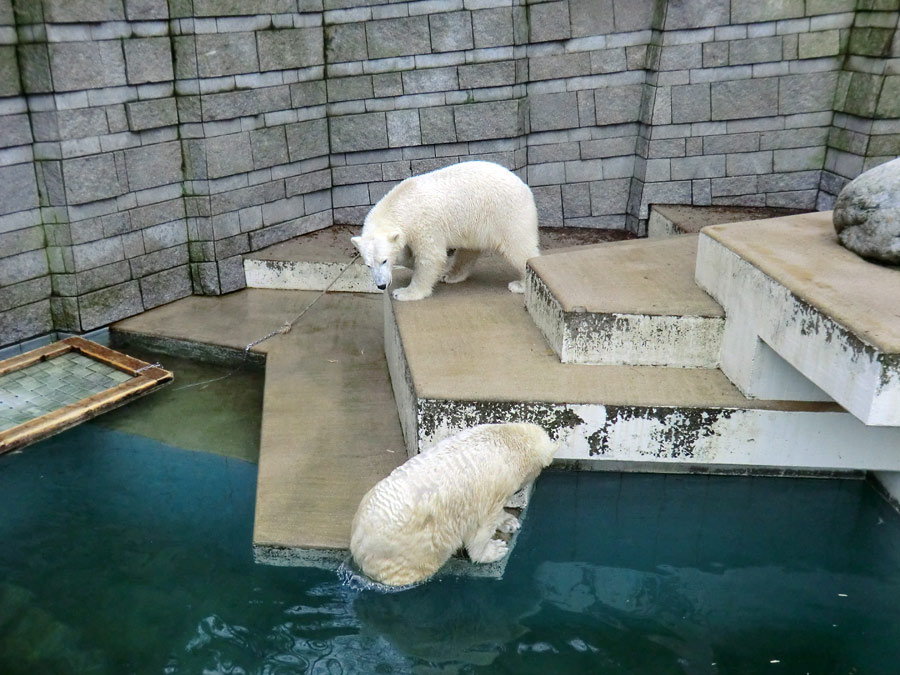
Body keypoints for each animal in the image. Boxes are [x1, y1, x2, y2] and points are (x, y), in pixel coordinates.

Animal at [350, 161, 536, 302]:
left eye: (384, 260)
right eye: (368, 265)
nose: (381, 285)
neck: (402, 202)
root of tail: (525, 186)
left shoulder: (424, 224)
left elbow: (431, 256)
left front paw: (404, 292)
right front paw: (409, 261)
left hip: (506, 215)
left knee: (518, 248)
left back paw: (520, 285)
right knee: (468, 250)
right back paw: (450, 275)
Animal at [350, 422, 556, 588]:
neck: (507, 442)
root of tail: (357, 542)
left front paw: (509, 522)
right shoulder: (493, 489)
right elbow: (481, 528)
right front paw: (495, 549)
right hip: (406, 553)